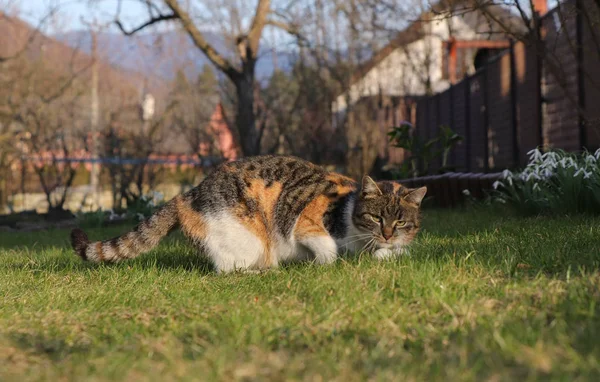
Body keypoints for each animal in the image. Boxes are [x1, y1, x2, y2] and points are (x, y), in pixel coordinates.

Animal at [70, 154, 426, 272]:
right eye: (377, 218)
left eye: (401, 222)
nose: (387, 234)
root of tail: (190, 193)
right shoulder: (304, 221)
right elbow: (328, 248)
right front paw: (325, 264)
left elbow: (397, 254)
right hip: (249, 236)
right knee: (227, 269)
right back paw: (267, 271)